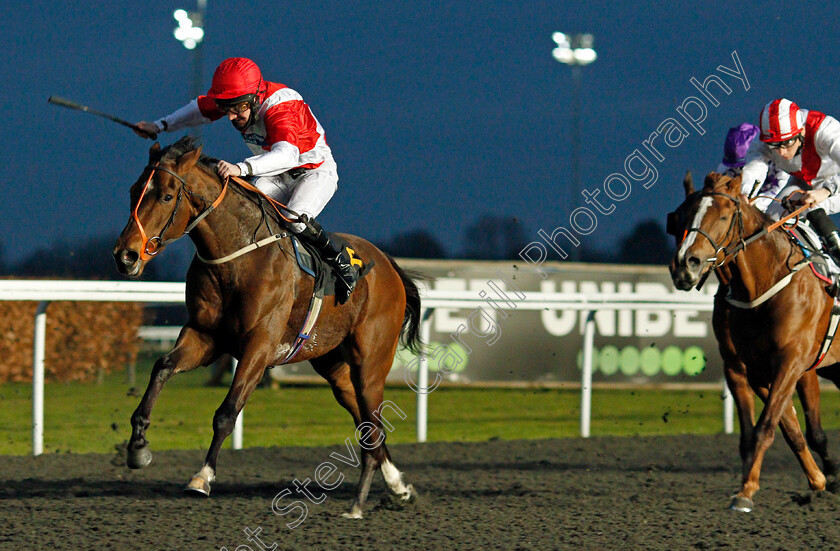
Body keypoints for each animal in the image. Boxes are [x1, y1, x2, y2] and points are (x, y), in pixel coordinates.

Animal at [113, 136, 420, 520]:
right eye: (133, 190)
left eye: (167, 196)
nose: (125, 256)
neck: (237, 257)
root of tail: (390, 265)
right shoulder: (204, 337)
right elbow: (162, 367)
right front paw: (137, 445)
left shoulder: (259, 345)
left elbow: (227, 413)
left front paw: (202, 477)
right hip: (334, 366)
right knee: (367, 426)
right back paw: (397, 486)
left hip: (371, 362)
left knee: (372, 421)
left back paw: (360, 502)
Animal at [668, 172, 840, 512]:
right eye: (681, 216)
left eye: (723, 216)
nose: (685, 265)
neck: (763, 283)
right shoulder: (745, 367)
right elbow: (781, 429)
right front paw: (818, 481)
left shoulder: (792, 362)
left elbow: (768, 427)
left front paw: (746, 491)